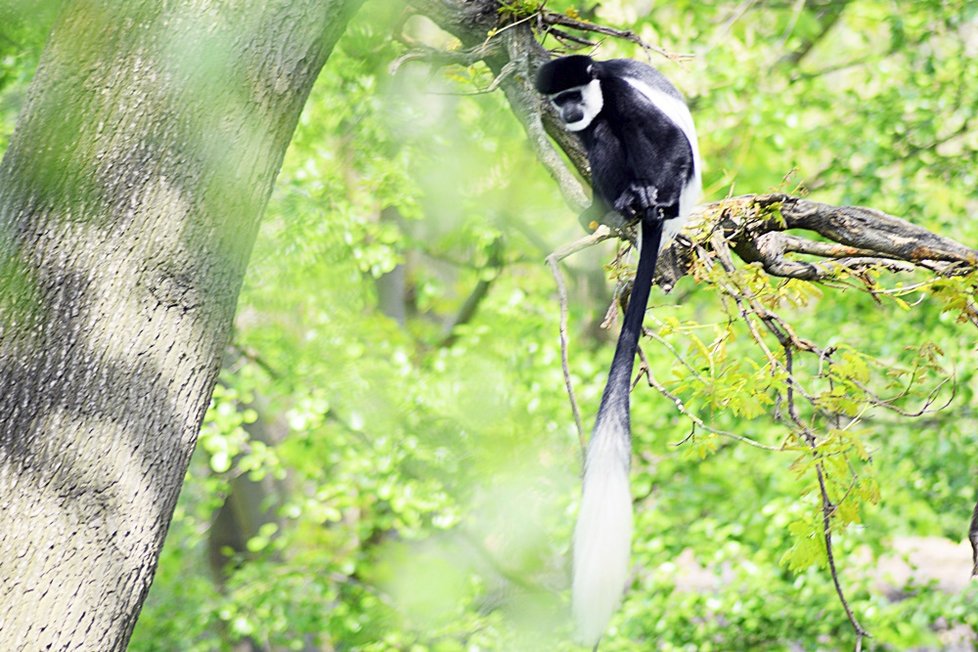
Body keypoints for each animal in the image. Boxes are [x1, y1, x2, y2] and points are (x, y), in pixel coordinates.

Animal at [532, 56, 700, 648]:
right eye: (558, 101)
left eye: (573, 94)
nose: (569, 112)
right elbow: (594, 139)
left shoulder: (622, 96)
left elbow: (665, 138)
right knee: (601, 140)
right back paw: (621, 203)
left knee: (629, 135)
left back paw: (649, 201)